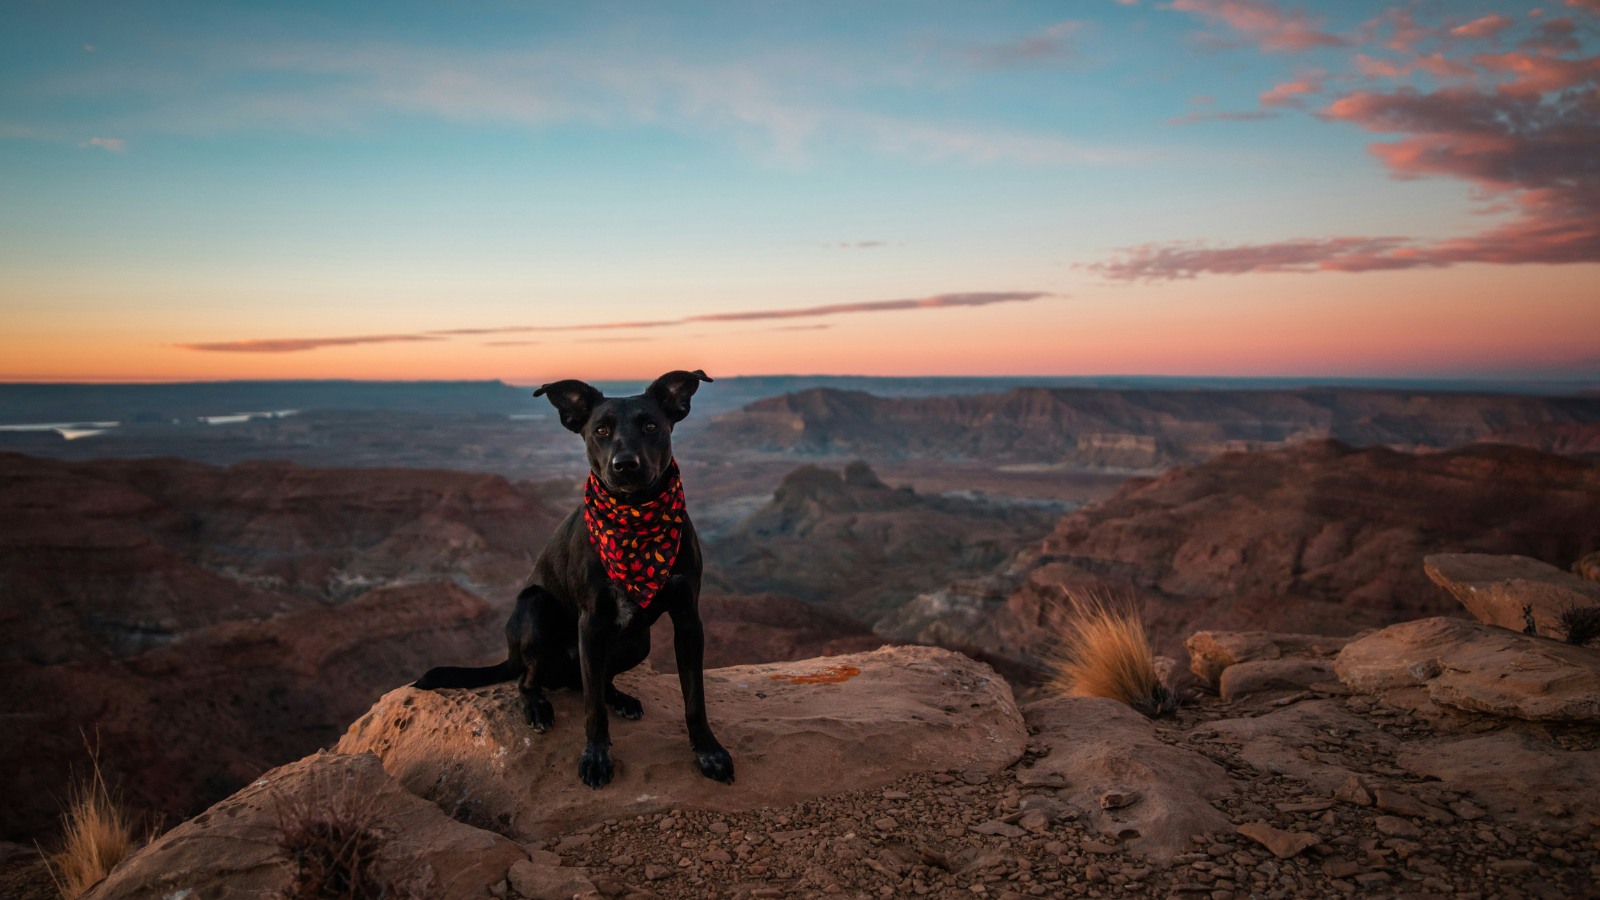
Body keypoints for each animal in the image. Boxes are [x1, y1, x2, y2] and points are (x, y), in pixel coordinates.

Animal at [416, 366, 732, 784]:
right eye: (600, 430)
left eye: (651, 426)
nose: (624, 464)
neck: (634, 519)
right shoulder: (591, 622)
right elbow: (592, 710)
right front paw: (596, 757)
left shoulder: (688, 619)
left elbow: (694, 697)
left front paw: (709, 750)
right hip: (537, 611)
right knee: (530, 680)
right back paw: (536, 706)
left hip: (638, 642)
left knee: (592, 683)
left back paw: (620, 697)